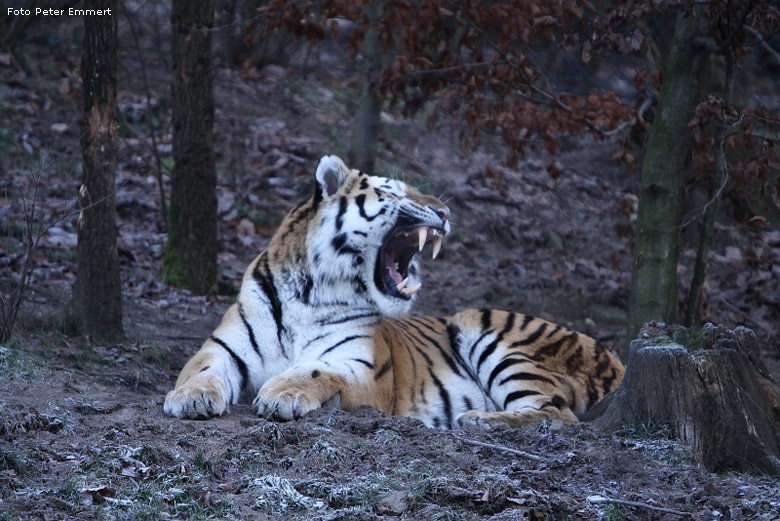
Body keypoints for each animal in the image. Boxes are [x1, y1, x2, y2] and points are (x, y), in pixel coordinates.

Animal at [165, 153, 628, 426]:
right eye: (392, 190)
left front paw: (283, 392)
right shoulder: (223, 348)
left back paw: (479, 420)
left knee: (557, 415)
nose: (445, 212)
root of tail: (615, 358)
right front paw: (190, 397)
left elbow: (316, 370)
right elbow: (200, 369)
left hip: (487, 331)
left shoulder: (364, 368)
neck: (309, 292)